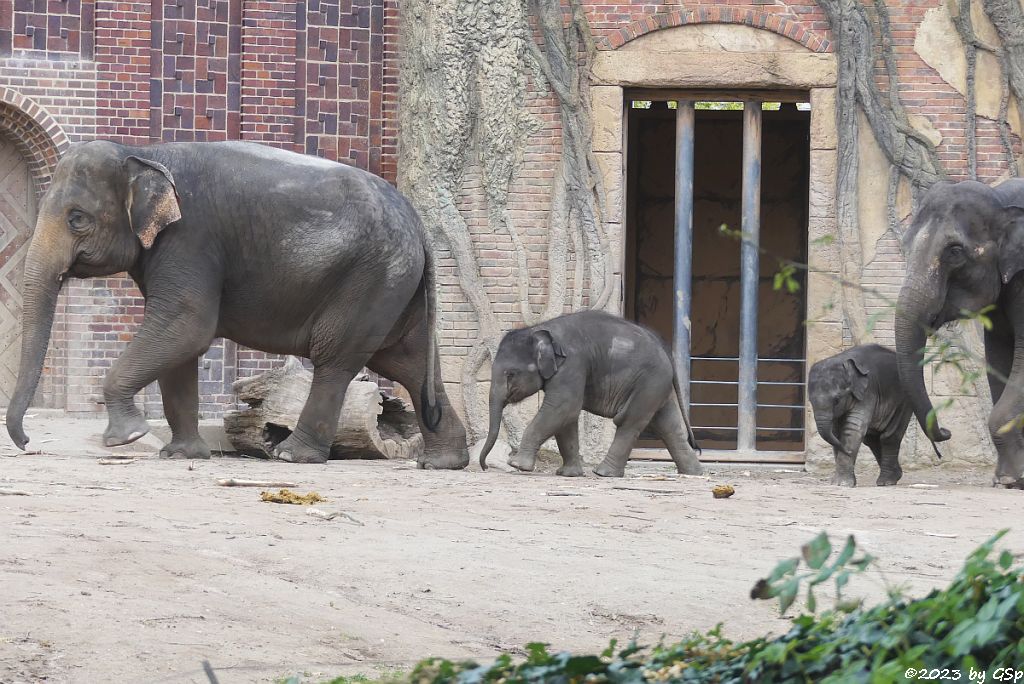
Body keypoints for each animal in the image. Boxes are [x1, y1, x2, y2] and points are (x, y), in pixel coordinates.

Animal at [6, 140, 468, 471]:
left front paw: (127, 437)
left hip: (370, 278)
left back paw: (292, 456)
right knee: (408, 362)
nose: (27, 443)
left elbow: (186, 326)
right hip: (395, 285)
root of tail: (418, 224)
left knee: (336, 359)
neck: (144, 153)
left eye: (77, 219)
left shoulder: (190, 240)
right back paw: (443, 462)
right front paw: (182, 454)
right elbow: (179, 347)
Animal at [477, 313, 704, 479]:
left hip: (650, 381)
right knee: (667, 425)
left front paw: (517, 465)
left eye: (510, 374)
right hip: (657, 385)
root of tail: (665, 349)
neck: (539, 329)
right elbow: (566, 418)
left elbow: (563, 407)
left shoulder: (573, 364)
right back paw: (693, 473)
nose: (485, 467)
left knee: (629, 422)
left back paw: (603, 473)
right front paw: (568, 474)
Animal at [897, 176, 1024, 485]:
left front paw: (1011, 480)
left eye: (954, 252)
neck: (1002, 200)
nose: (946, 432)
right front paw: (1006, 480)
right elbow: (998, 357)